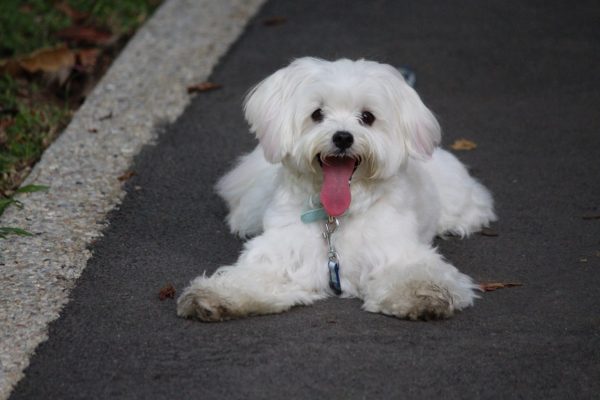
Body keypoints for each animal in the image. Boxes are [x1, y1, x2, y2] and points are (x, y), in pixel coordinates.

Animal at [178, 57, 496, 322]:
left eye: (367, 117)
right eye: (317, 114)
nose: (343, 137)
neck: (337, 217)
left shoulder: (394, 252)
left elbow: (413, 273)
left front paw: (423, 294)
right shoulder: (283, 255)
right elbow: (253, 278)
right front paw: (217, 295)